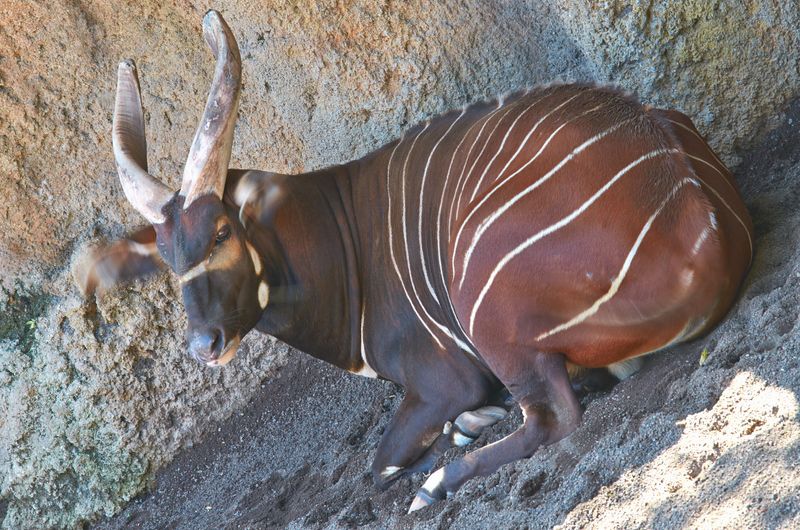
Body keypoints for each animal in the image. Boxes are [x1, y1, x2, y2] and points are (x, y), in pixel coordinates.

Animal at [75, 9, 752, 512]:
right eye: (167, 258)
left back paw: (442, 480)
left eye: (220, 231)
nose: (204, 345)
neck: (342, 239)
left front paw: (453, 442)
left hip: (488, 311)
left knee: (555, 416)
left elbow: (381, 465)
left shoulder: (445, 378)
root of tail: (697, 216)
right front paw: (474, 421)